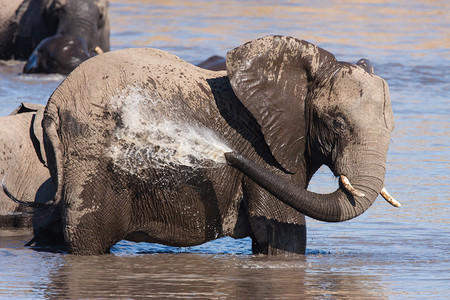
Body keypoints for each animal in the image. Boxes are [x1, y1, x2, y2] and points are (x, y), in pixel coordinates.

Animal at [24, 35, 398, 255]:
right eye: (336, 123)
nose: (226, 155)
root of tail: (54, 105)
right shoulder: (264, 150)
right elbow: (283, 236)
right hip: (90, 156)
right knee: (89, 239)